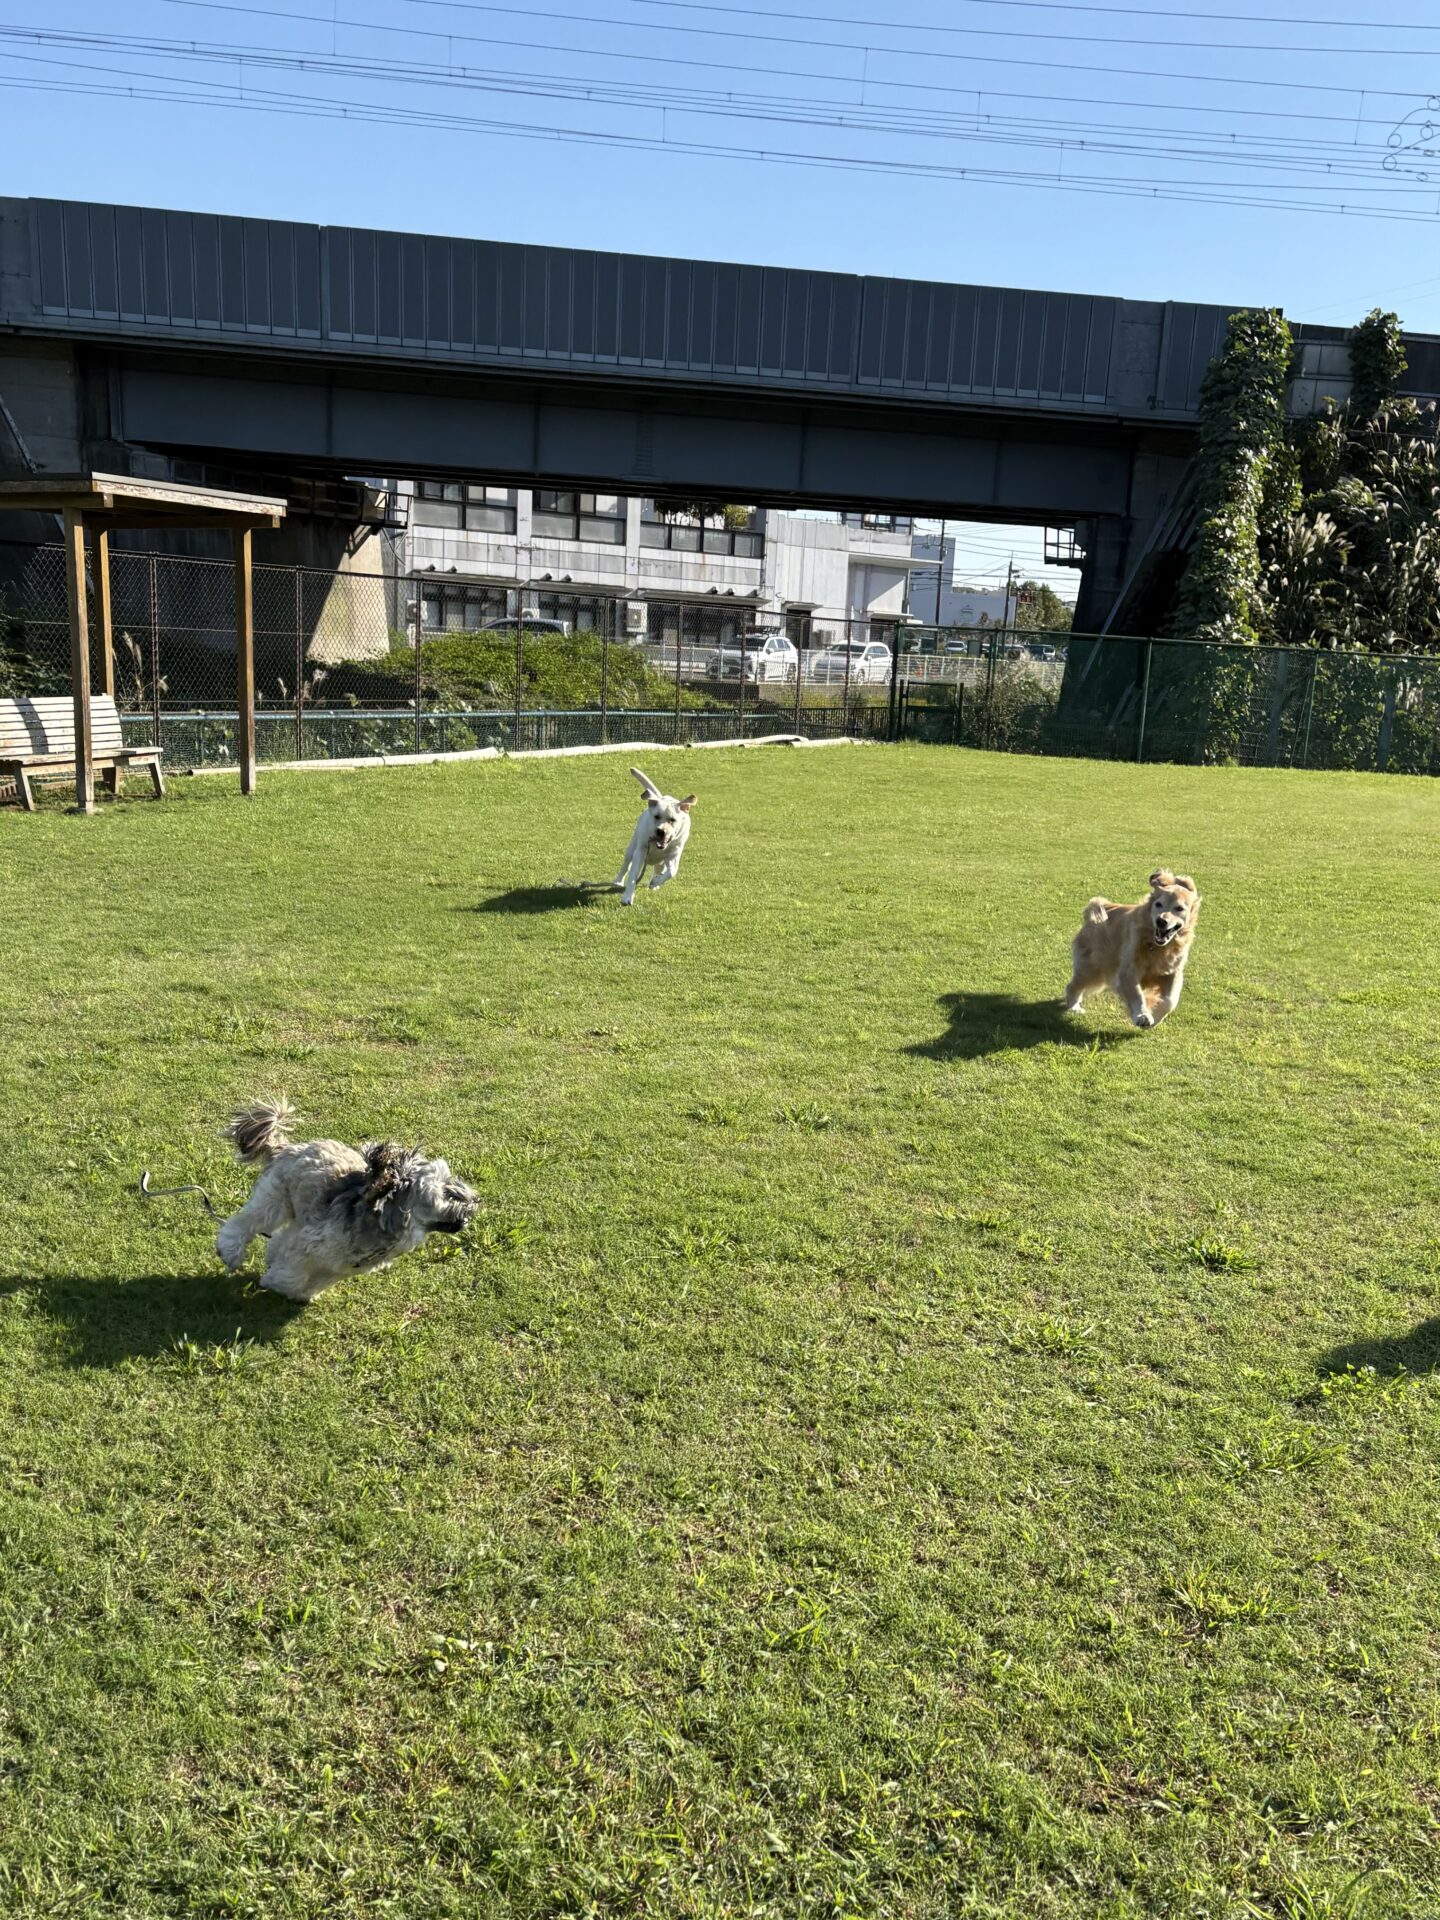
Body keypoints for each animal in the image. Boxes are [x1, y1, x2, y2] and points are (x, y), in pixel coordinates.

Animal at [214, 1100, 479, 1302]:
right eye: (446, 1191)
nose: (476, 1200)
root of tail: (287, 1147)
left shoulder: (337, 1267)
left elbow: (315, 1280)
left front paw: (301, 1294)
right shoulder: (309, 1245)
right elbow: (292, 1273)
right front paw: (276, 1282)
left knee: (281, 1234)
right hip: (276, 1201)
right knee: (245, 1222)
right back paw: (230, 1251)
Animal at [613, 767, 696, 905]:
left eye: (672, 820)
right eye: (656, 816)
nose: (661, 831)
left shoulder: (674, 854)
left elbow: (672, 871)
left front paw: (656, 882)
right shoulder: (641, 851)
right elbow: (632, 875)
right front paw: (627, 897)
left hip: (661, 860)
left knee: (659, 868)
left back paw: (655, 882)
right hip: (632, 848)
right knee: (625, 865)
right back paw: (618, 881)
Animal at [1064, 869, 1202, 1029]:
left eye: (1179, 908)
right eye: (1158, 904)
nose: (1161, 921)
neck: (1157, 947)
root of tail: (1102, 905)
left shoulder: (1173, 971)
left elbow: (1170, 1000)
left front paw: (1155, 1015)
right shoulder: (1129, 969)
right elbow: (1137, 994)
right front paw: (1142, 1015)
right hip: (1093, 967)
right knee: (1073, 985)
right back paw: (1075, 1007)